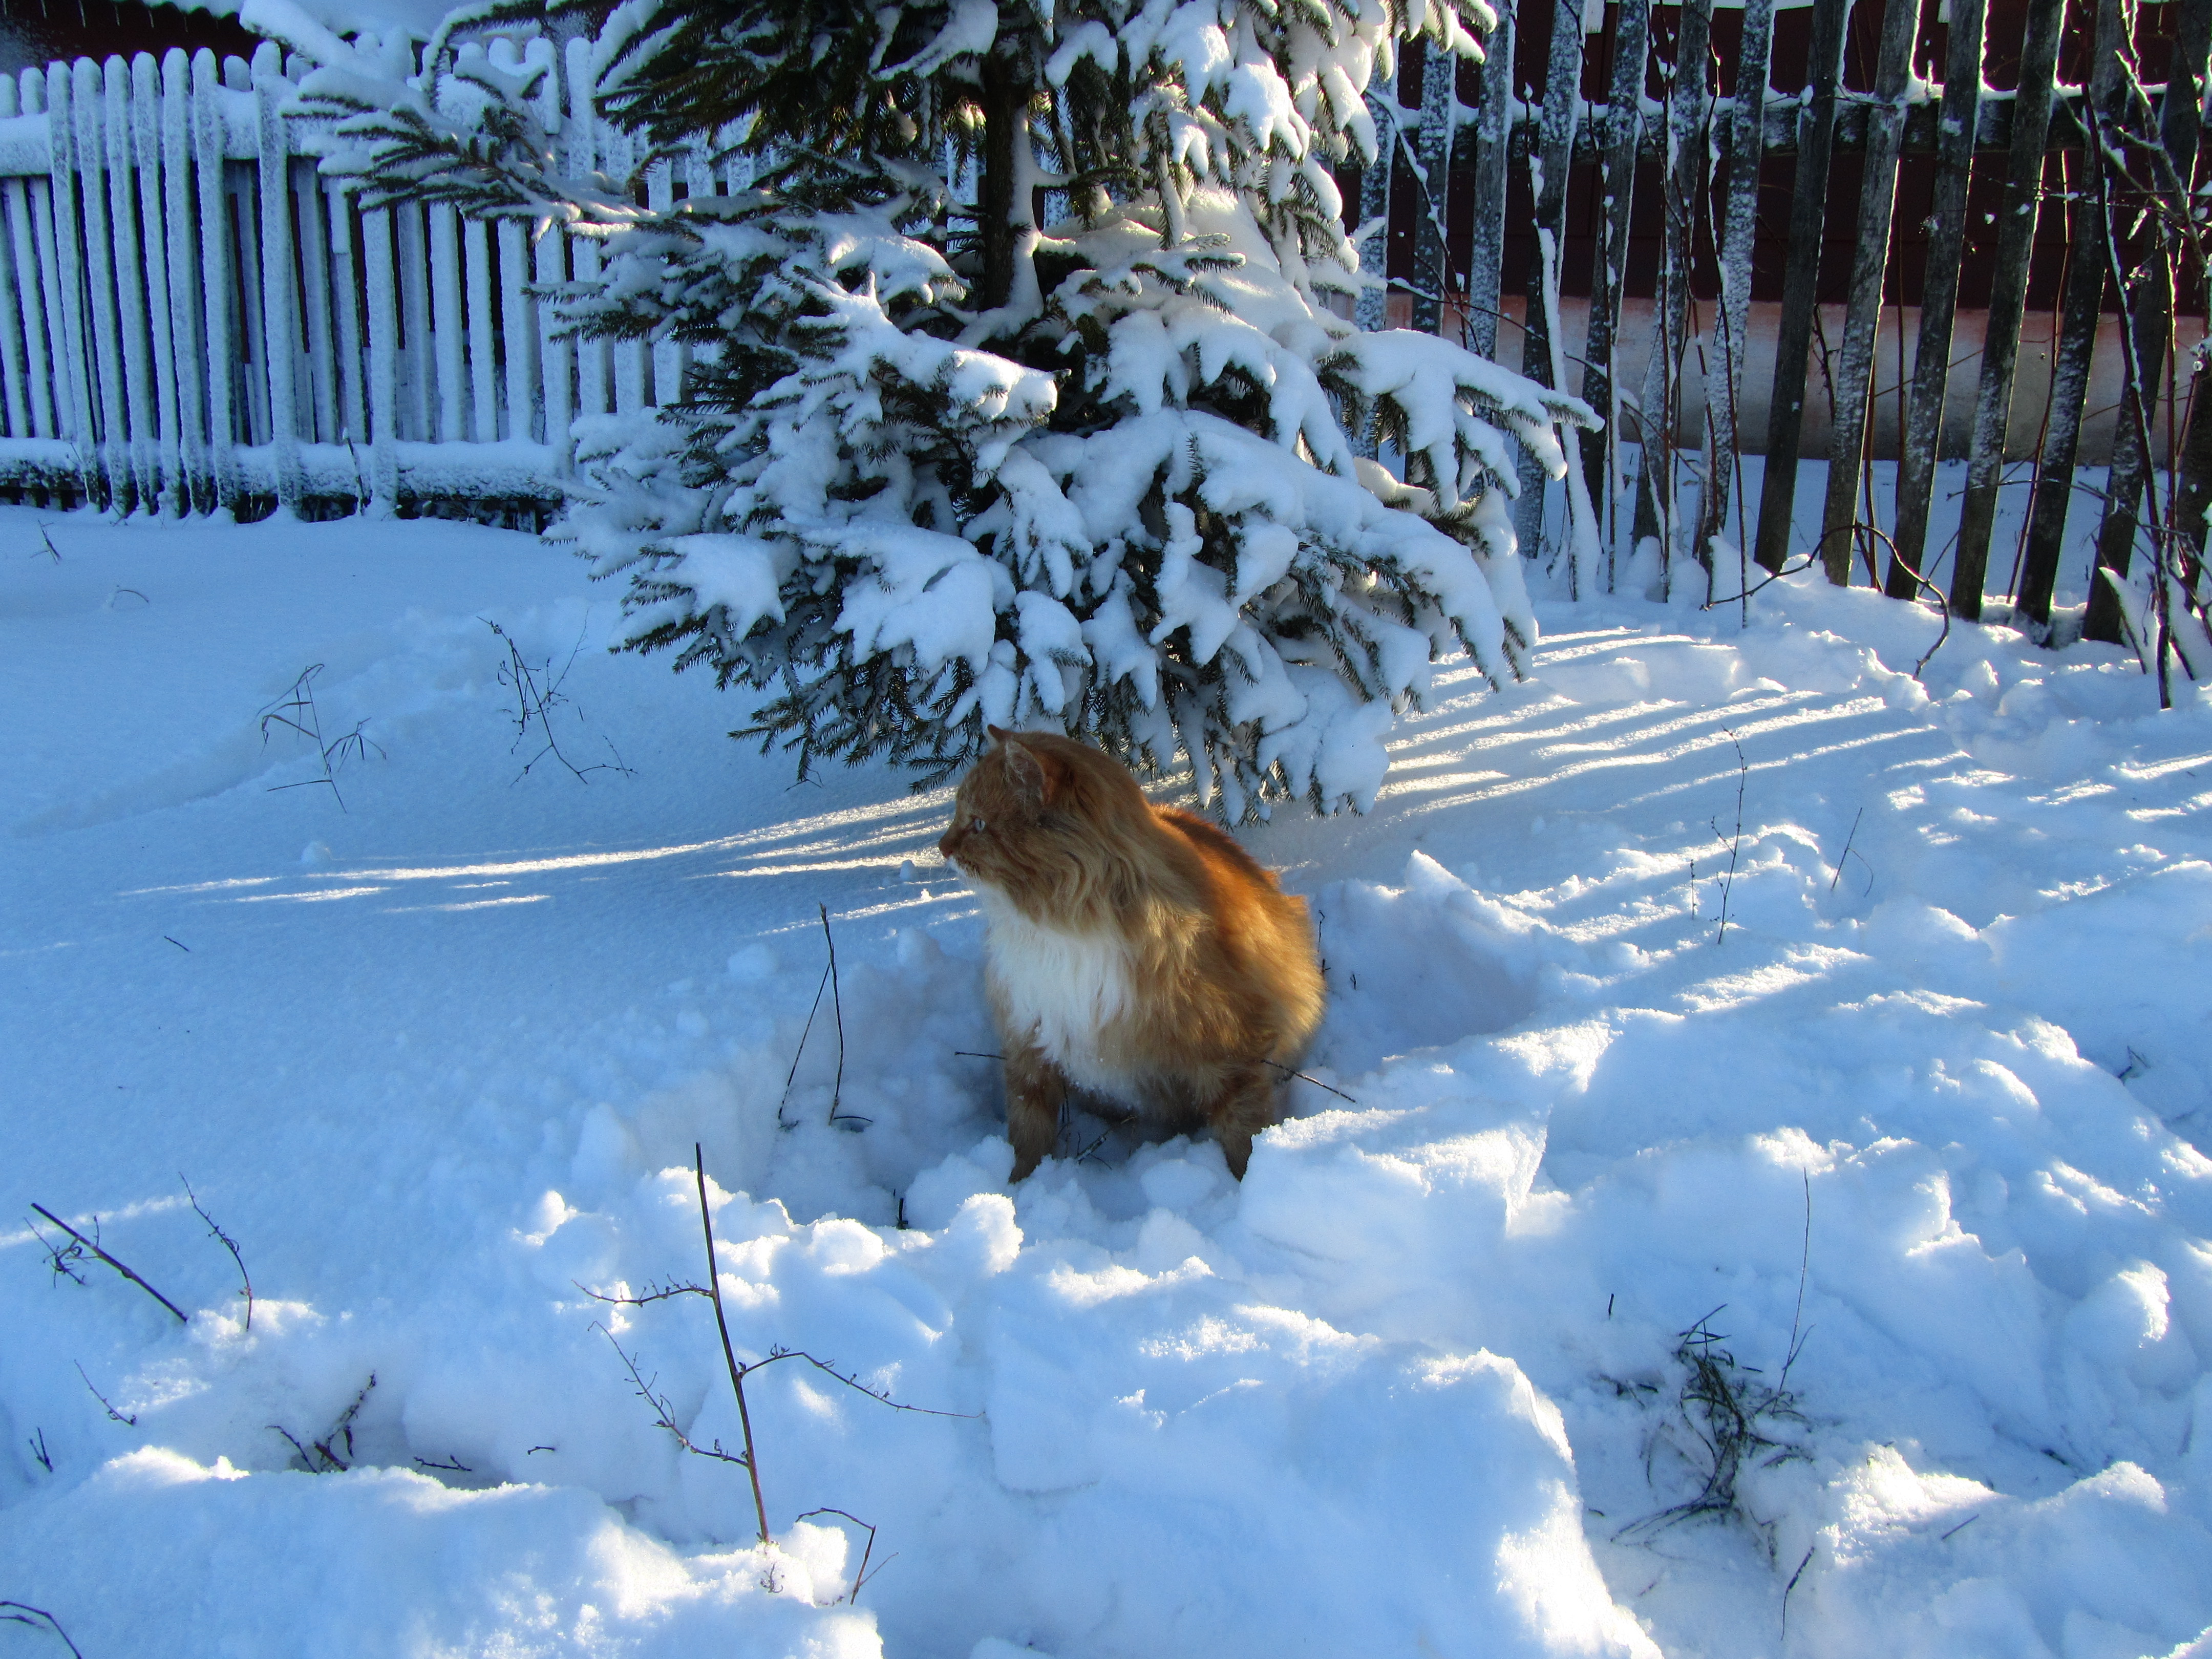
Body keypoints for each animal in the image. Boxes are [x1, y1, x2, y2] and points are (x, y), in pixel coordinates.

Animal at [929, 725, 1309, 1185]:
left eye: (980, 825)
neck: (1061, 931)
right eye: (957, 816)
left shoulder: (1229, 1044)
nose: (941, 847)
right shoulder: (1029, 1037)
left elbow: (1244, 1132)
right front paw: (1018, 1187)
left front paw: (1249, 1189)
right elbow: (1027, 1131)